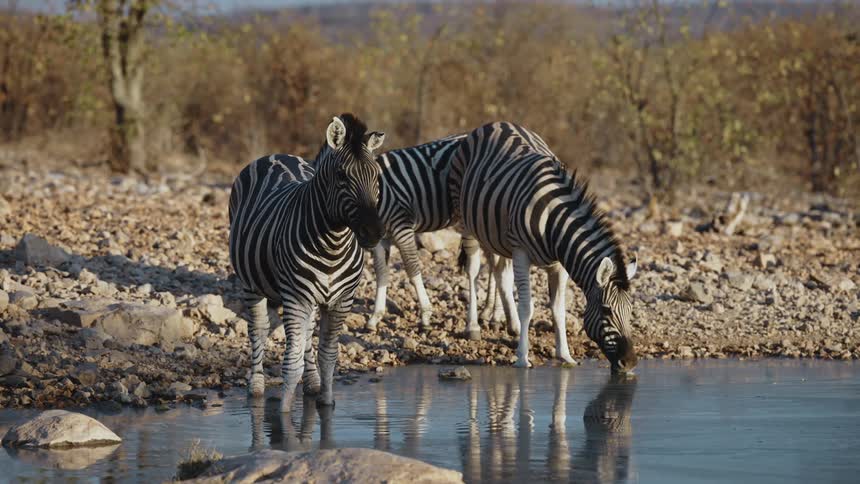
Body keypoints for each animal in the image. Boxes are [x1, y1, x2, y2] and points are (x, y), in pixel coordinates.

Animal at [229, 113, 385, 413]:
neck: (332, 244)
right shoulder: (295, 297)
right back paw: (256, 386)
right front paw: (284, 413)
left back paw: (312, 383)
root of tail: (275, 154)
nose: (374, 232)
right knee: (258, 329)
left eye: (377, 177)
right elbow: (291, 362)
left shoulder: (342, 300)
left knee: (308, 335)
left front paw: (326, 401)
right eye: (342, 176)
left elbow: (328, 355)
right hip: (250, 284)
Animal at [366, 133, 472, 332]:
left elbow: (412, 269)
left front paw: (425, 315)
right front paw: (375, 317)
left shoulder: (402, 227)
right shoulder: (381, 239)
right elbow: (381, 273)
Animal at [450, 121, 638, 372]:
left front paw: (565, 355)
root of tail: (497, 123)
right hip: (466, 220)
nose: (630, 363)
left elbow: (558, 308)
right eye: (606, 310)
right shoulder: (521, 252)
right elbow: (527, 307)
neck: (554, 222)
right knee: (473, 270)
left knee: (500, 273)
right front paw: (522, 357)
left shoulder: (559, 264)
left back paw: (509, 324)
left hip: (496, 233)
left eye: (630, 310)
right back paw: (473, 326)